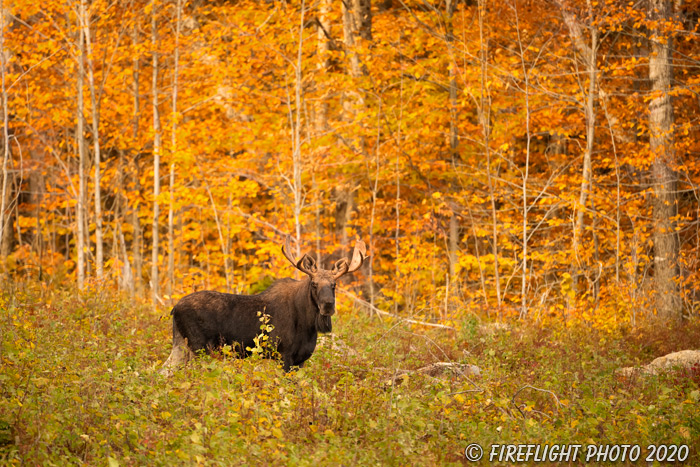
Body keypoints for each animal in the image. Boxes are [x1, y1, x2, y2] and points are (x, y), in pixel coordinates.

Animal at [159, 236, 366, 374]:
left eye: (334, 285)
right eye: (314, 284)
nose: (328, 305)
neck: (308, 325)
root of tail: (174, 309)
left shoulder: (301, 359)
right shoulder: (284, 355)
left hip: (181, 344)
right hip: (198, 347)